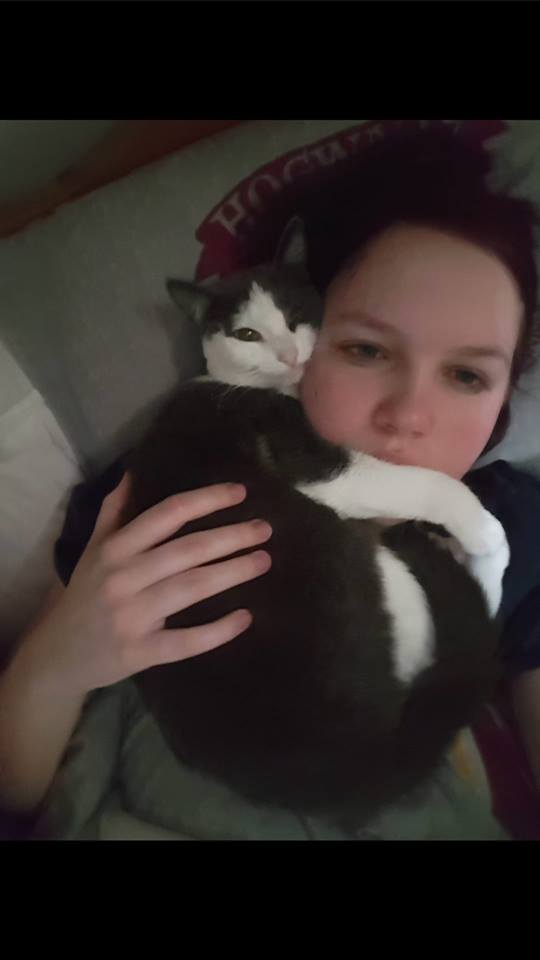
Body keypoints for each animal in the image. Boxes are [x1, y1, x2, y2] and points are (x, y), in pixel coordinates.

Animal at [123, 223, 510, 824]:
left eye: (294, 311)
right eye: (247, 333)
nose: (287, 355)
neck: (247, 386)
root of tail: (340, 771)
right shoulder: (311, 461)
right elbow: (421, 482)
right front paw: (485, 530)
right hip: (367, 574)